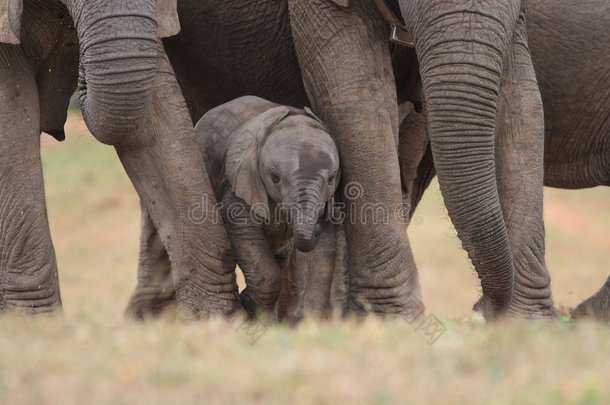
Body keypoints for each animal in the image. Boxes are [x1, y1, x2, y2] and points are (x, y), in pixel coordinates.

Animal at [197, 95, 344, 318]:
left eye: (331, 179)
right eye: (275, 178)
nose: (315, 229)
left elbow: (326, 251)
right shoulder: (238, 182)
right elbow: (246, 234)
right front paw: (247, 304)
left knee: (281, 258)